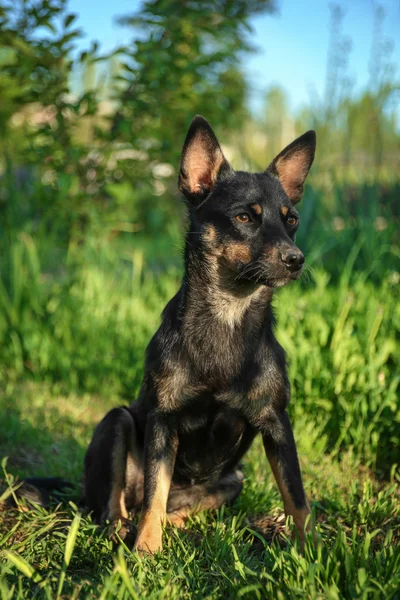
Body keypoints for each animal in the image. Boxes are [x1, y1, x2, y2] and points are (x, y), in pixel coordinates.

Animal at [82, 116, 318, 552]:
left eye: (290, 219)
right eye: (245, 218)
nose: (296, 260)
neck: (227, 315)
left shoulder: (276, 422)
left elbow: (297, 495)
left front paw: (312, 549)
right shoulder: (163, 419)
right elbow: (154, 494)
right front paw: (145, 550)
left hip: (233, 480)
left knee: (177, 508)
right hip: (116, 420)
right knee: (122, 502)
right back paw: (122, 527)